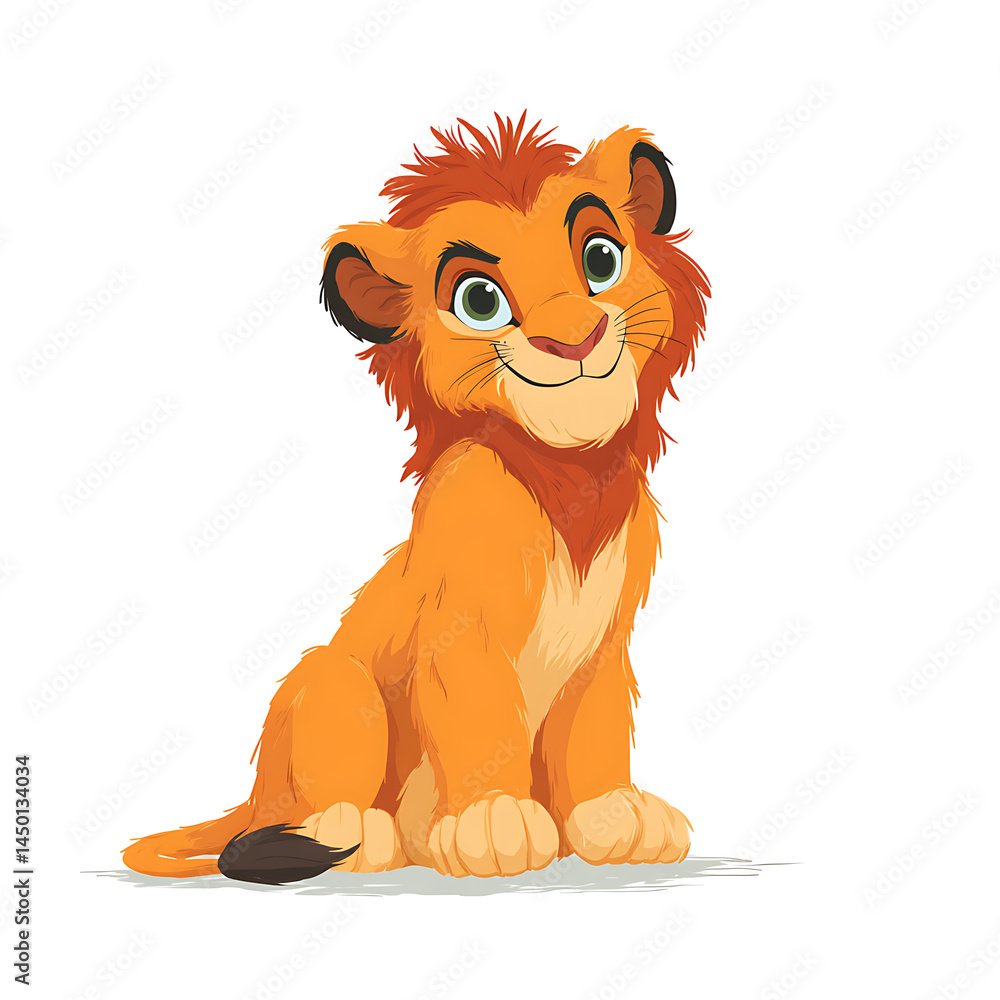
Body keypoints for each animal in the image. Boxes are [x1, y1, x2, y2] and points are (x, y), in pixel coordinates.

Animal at [122, 113, 710, 883]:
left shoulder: (604, 644)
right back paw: (354, 834)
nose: (573, 339)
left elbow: (593, 729)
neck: (570, 472)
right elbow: (482, 722)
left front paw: (614, 816)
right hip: (332, 682)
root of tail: (251, 800)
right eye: (480, 300)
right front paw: (491, 822)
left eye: (601, 258)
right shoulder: (459, 628)